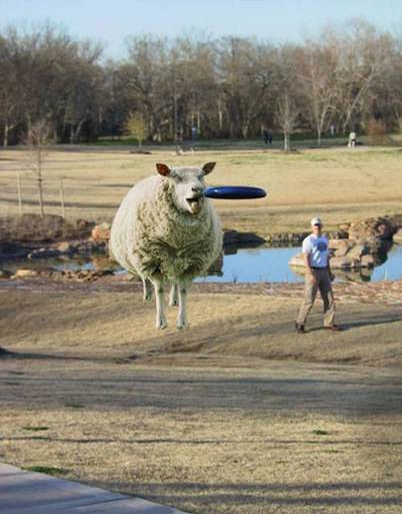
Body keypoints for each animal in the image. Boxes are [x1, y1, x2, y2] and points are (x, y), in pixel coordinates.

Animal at [110, 160, 223, 328]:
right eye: (175, 177)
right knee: (144, 278)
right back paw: (147, 295)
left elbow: (183, 290)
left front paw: (182, 321)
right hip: (140, 258)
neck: (178, 238)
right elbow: (159, 290)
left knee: (174, 282)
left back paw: (173, 300)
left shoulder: (190, 264)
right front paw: (161, 321)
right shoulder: (152, 262)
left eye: (201, 175)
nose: (198, 189)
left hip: (176, 261)